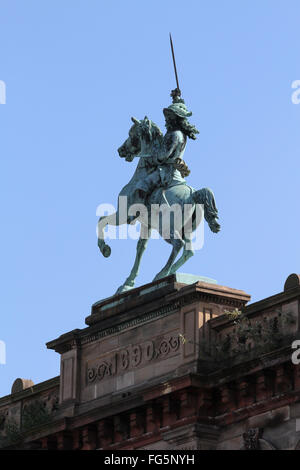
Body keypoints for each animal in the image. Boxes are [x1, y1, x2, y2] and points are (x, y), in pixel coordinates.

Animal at [96, 116, 220, 294]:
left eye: (131, 133)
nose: (121, 150)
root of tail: (194, 194)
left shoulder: (123, 214)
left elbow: (101, 220)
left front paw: (105, 249)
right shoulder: (146, 224)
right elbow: (140, 247)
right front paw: (128, 283)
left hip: (166, 228)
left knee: (178, 244)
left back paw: (162, 274)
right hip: (186, 230)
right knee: (188, 251)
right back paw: (169, 273)